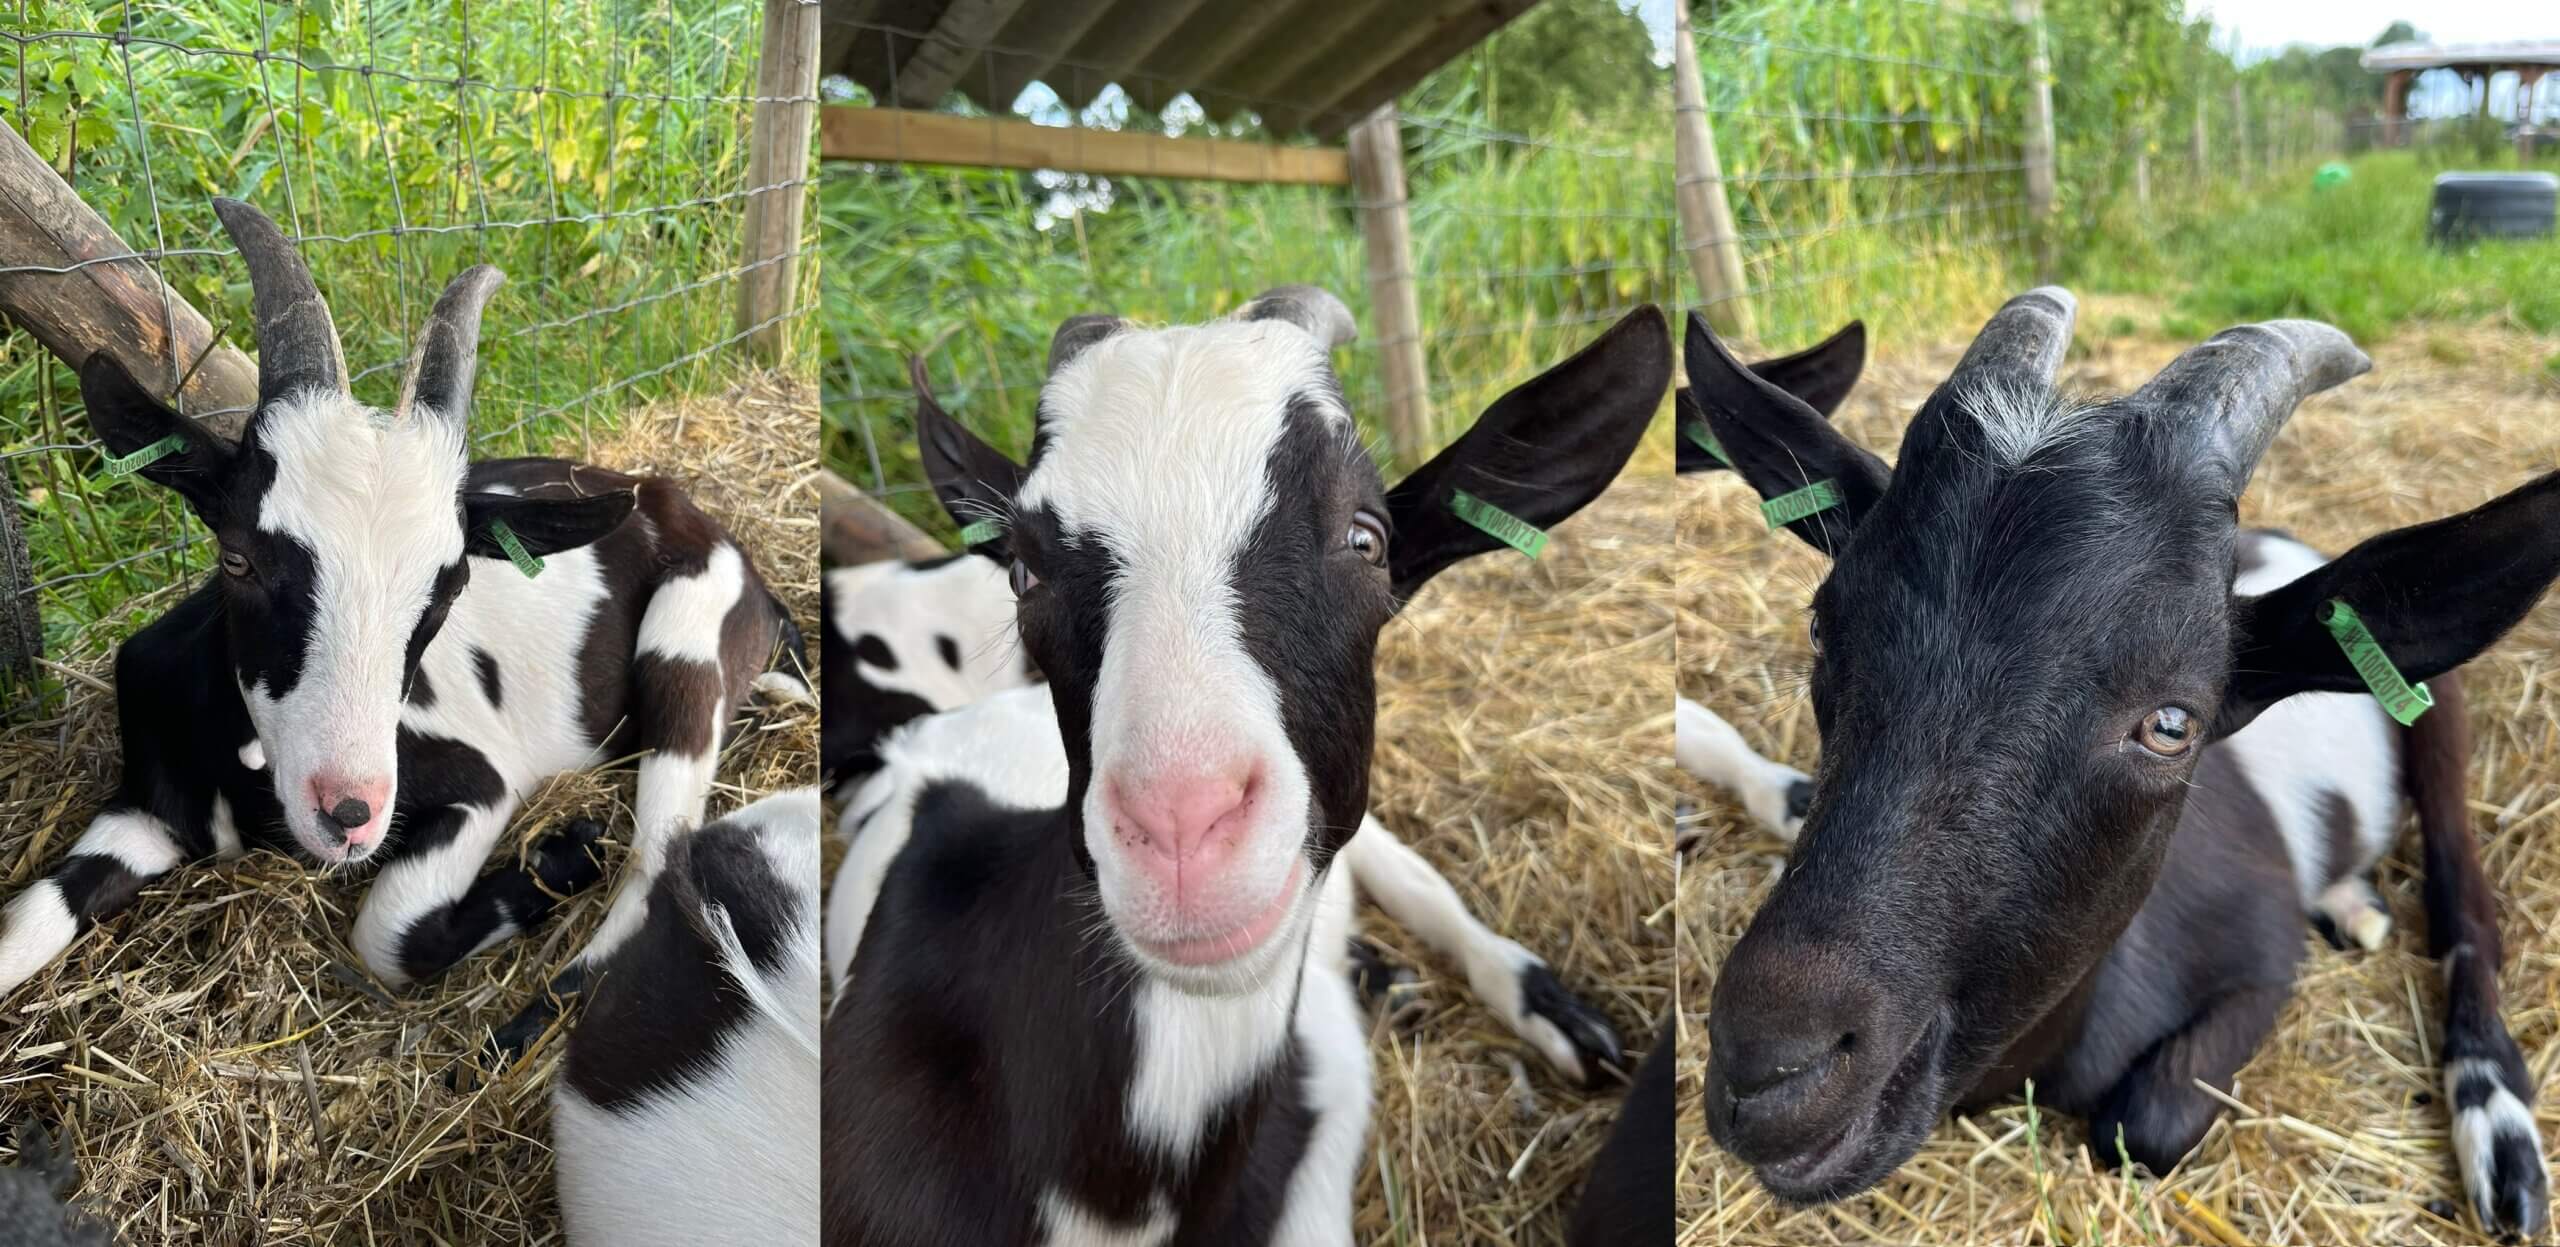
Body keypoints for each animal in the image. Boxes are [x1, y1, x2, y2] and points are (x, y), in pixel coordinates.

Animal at [0, 197, 798, 1034]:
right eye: (238, 558)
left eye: (448, 588)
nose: (348, 812)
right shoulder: (142, 811)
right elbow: (22, 930)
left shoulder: (481, 782)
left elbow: (387, 936)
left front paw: (563, 854)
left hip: (688, 634)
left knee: (659, 854)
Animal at [1679, 293, 2560, 1239]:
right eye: (1821, 624)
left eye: (2172, 723)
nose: (1770, 1070)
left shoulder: (2264, 948)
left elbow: (2141, 1127)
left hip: (2443, 714)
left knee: (2464, 893)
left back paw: (2500, 1138)